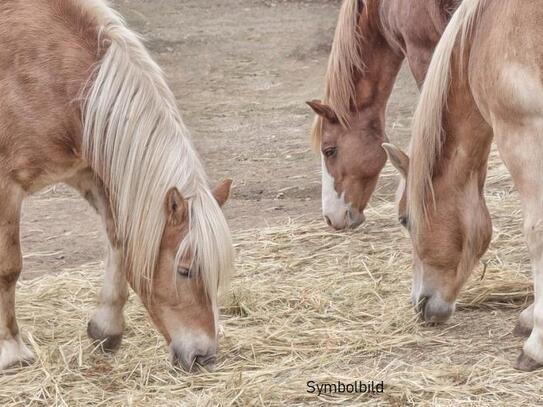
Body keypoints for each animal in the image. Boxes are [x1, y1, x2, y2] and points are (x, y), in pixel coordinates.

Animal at [0, 0, 234, 374]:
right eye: (185, 270)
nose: (204, 356)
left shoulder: (87, 173)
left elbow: (120, 241)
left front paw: (106, 328)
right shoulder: (7, 187)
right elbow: (9, 267)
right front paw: (11, 350)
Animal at [384, 0, 543, 372]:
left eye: (404, 220)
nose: (421, 304)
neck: (487, 30)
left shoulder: (524, 133)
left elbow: (537, 236)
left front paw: (536, 344)